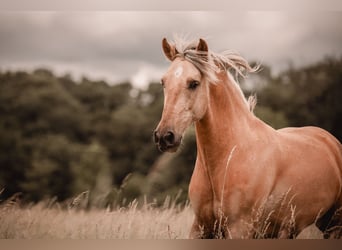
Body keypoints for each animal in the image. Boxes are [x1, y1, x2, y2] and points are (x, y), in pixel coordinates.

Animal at [154, 35, 342, 238]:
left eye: (194, 83)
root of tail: (331, 141)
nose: (164, 136)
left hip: (334, 224)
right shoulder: (201, 226)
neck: (231, 154)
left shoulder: (239, 228)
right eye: (163, 82)